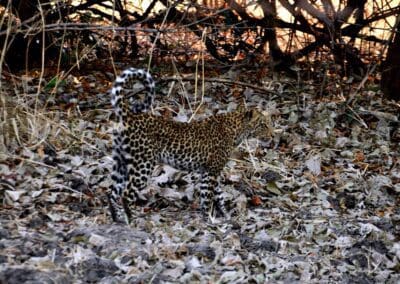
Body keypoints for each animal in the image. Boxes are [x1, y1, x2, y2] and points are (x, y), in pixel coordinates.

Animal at [108, 67, 270, 223]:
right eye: (263, 124)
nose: (272, 134)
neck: (236, 130)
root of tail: (129, 115)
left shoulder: (210, 170)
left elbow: (218, 195)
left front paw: (225, 215)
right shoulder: (211, 172)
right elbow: (207, 197)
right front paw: (210, 219)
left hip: (121, 163)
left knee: (112, 191)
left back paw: (117, 219)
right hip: (143, 164)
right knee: (126, 194)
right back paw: (130, 220)